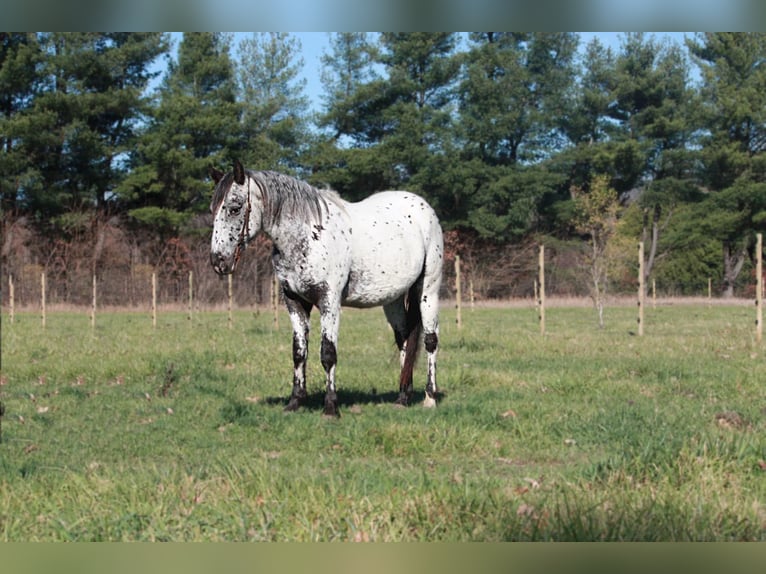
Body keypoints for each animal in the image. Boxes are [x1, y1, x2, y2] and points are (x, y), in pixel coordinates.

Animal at [210, 162, 448, 418]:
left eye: (235, 208)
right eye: (213, 209)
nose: (218, 261)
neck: (308, 236)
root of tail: (422, 206)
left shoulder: (329, 302)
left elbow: (328, 353)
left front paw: (331, 408)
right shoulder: (294, 302)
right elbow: (298, 352)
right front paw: (295, 402)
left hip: (428, 291)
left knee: (431, 341)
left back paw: (430, 397)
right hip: (392, 299)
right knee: (404, 339)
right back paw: (402, 397)